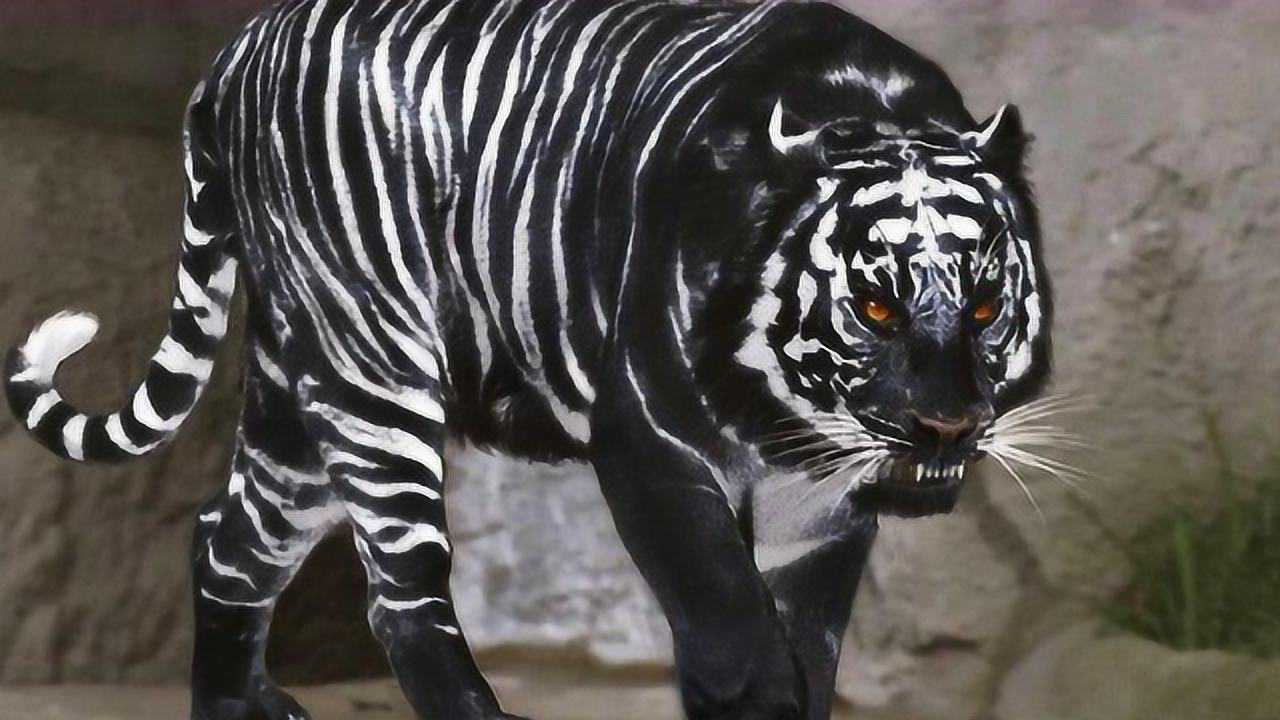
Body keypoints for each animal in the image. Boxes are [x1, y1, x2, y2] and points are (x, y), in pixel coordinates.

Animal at [3, 0, 1052, 718]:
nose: (946, 426)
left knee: (229, 541)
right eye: (875, 305)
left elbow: (808, 649)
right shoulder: (651, 442)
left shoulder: (823, 506)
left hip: (296, 400)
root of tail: (237, 46)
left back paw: (232, 708)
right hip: (372, 368)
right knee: (399, 595)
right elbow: (732, 631)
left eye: (985, 303)